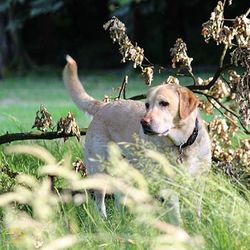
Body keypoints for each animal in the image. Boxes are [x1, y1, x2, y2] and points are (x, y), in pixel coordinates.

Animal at [63, 55, 211, 218]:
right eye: (147, 105)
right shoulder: (169, 184)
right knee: (99, 200)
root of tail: (103, 106)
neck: (183, 144)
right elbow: (176, 215)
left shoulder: (199, 182)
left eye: (164, 103)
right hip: (99, 168)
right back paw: (103, 219)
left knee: (118, 199)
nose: (144, 122)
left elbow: (196, 210)